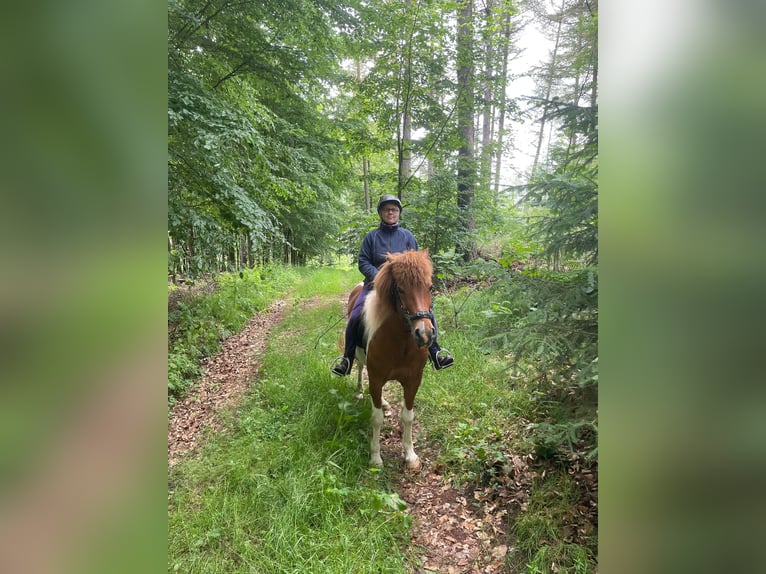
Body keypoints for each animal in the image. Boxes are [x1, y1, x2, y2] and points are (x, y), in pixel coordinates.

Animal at [346, 249, 435, 471]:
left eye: (430, 287)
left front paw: (410, 455)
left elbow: (408, 416)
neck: (400, 342)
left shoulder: (413, 380)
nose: (424, 334)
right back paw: (360, 391)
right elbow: (376, 418)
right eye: (401, 290)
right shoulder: (376, 378)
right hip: (360, 357)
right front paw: (375, 457)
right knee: (360, 367)